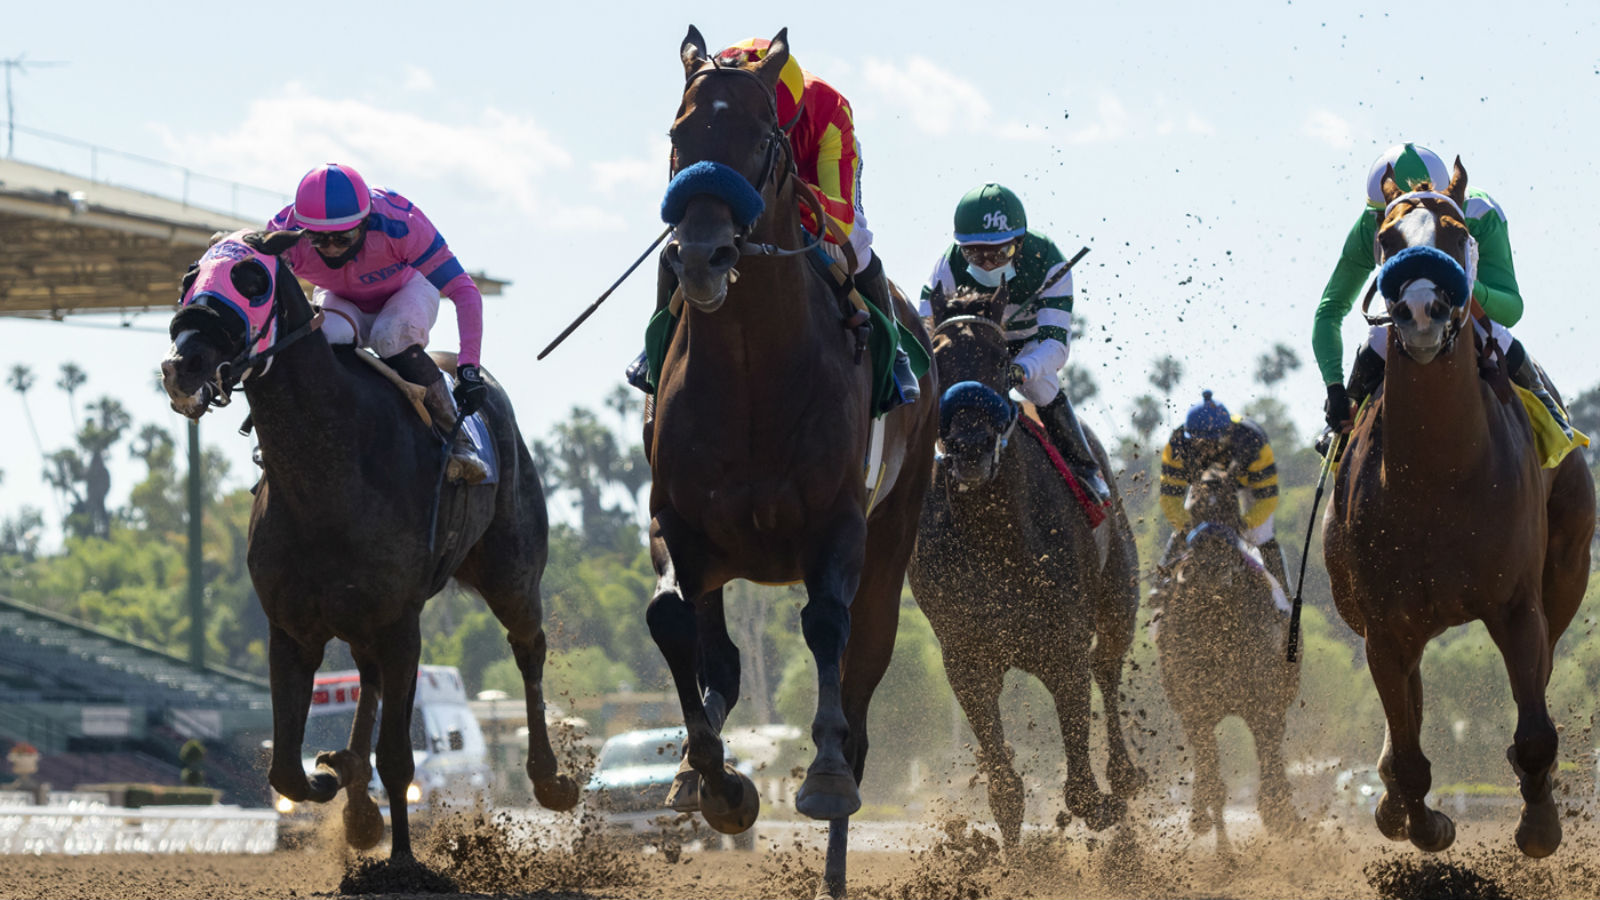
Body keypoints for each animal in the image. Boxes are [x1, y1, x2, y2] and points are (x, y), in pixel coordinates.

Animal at [160, 229, 578, 863]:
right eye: (189, 277)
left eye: (253, 280)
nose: (183, 365)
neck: (328, 473)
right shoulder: (291, 629)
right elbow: (286, 771)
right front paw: (337, 774)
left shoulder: (402, 624)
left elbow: (400, 760)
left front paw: (402, 860)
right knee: (369, 680)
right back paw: (357, 799)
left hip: (512, 574)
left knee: (529, 649)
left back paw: (550, 778)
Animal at [645, 26, 939, 899]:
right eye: (680, 134)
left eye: (761, 141)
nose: (701, 255)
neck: (749, 369)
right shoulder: (680, 525)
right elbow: (674, 624)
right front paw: (715, 781)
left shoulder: (836, 524)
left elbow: (825, 628)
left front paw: (824, 778)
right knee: (723, 659)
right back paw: (692, 772)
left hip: (894, 538)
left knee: (863, 679)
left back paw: (836, 853)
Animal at [908, 283, 1144, 849]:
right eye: (937, 358)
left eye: (1001, 358)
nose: (971, 448)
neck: (995, 538)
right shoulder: (967, 660)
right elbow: (1006, 793)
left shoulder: (1063, 647)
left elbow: (1082, 792)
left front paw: (1107, 813)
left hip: (1119, 593)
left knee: (1108, 668)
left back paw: (1124, 777)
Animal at [1156, 464, 1299, 855]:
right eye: (1193, 508)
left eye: (1230, 506)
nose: (1212, 568)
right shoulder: (1195, 707)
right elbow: (1213, 780)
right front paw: (1222, 852)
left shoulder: (1263, 701)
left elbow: (1269, 760)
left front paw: (1281, 816)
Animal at [1323, 159, 1594, 857]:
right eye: (1387, 240)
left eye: (1455, 231)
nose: (1422, 310)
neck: (1439, 476)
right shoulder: (1384, 624)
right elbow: (1408, 756)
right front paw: (1420, 819)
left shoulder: (1518, 604)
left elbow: (1535, 729)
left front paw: (1538, 824)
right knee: (1407, 712)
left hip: (1568, 570)